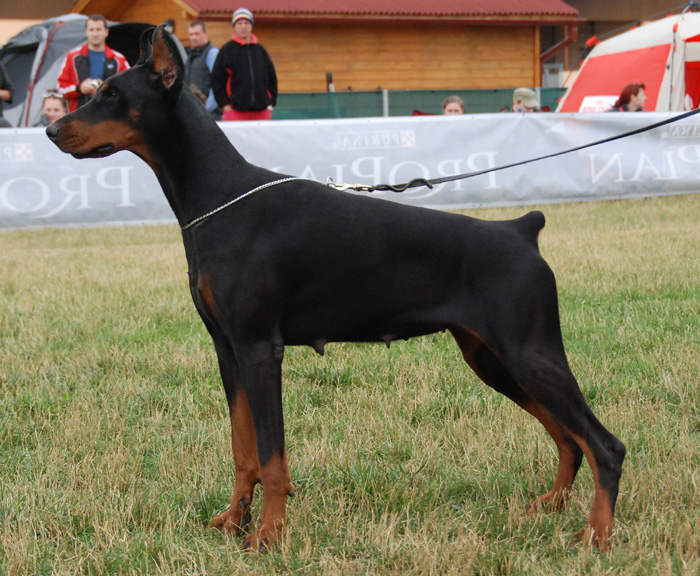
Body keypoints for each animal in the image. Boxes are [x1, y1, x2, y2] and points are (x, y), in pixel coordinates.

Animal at [47, 26, 625, 552]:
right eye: (96, 91)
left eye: (113, 95)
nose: (51, 130)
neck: (217, 197)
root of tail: (522, 229)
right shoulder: (227, 350)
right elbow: (243, 449)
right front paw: (233, 521)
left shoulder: (260, 349)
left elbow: (272, 457)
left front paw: (269, 534)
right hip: (492, 359)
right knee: (569, 438)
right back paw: (550, 505)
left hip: (528, 353)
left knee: (605, 445)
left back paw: (596, 534)